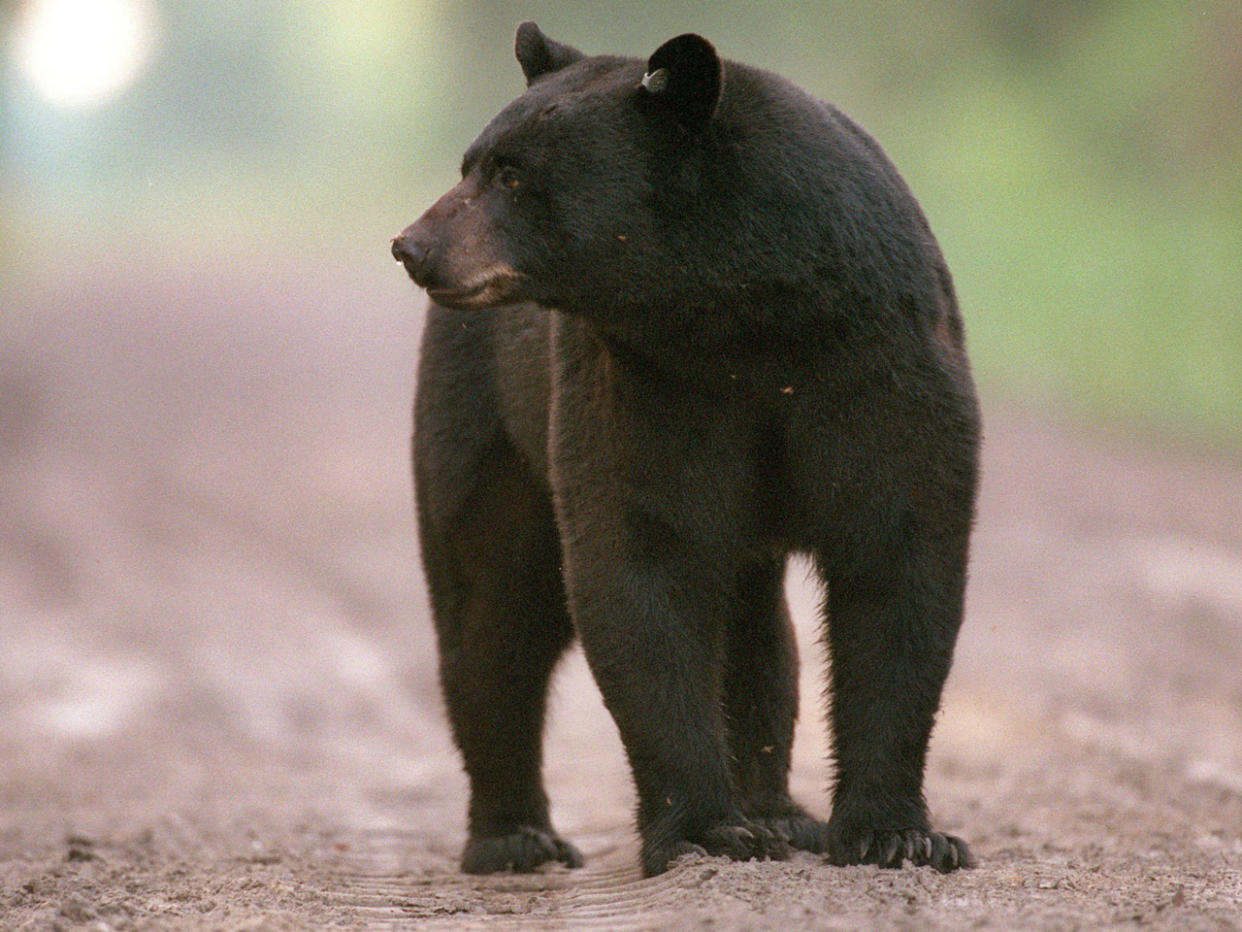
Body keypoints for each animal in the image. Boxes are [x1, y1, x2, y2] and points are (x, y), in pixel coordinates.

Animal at [392, 23, 973, 884]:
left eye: (512, 172)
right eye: (473, 162)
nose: (412, 245)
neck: (744, 317)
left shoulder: (880, 361)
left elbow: (899, 563)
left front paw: (899, 835)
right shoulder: (648, 383)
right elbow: (642, 563)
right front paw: (705, 829)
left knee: (756, 636)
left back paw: (779, 811)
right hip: (485, 419)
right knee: (494, 611)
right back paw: (514, 835)